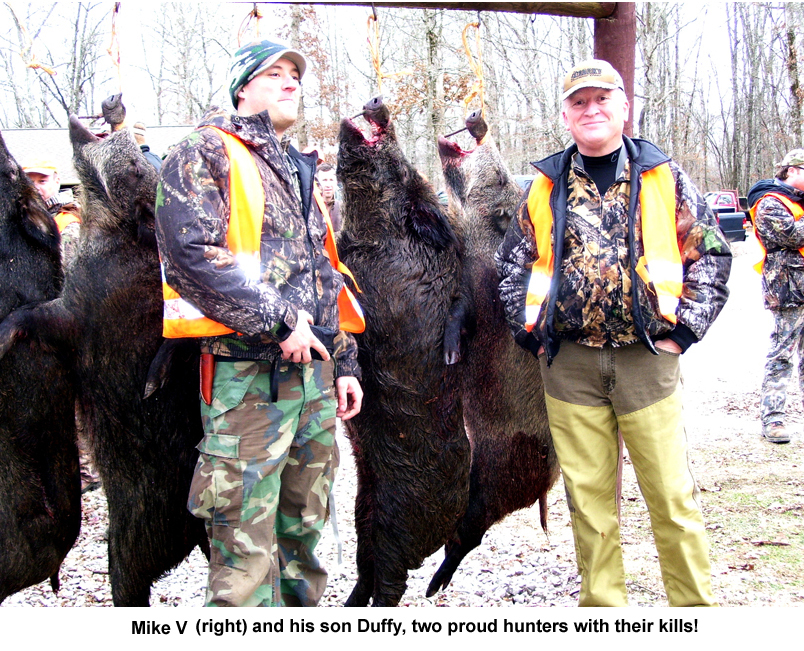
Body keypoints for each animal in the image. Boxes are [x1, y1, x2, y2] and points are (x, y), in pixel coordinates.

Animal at [0, 103, 207, 606]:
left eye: (133, 166)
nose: (116, 109)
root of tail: (186, 537)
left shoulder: (77, 314)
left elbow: (30, 317)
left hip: (126, 556)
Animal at [337, 96, 471, 606]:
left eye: (402, 169)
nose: (377, 100)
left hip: (399, 520)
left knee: (391, 582)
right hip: (365, 506)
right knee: (365, 569)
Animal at [426, 112, 559, 597]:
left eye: (500, 176)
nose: (476, 118)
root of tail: (545, 484)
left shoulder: (473, 292)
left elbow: (458, 318)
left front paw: (448, 354)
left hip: (497, 471)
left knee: (471, 532)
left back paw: (433, 587)